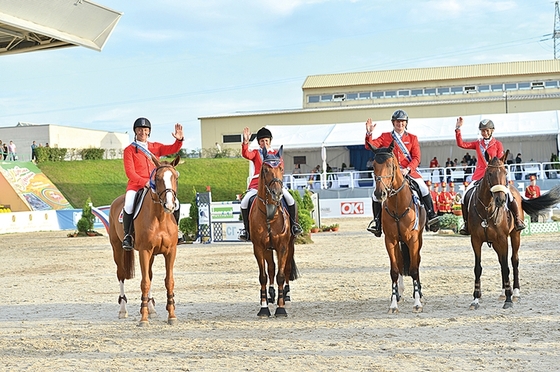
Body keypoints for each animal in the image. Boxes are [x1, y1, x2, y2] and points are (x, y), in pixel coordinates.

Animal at [108, 154, 180, 326]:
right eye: (158, 178)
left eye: (175, 177)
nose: (169, 205)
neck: (160, 217)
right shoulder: (144, 251)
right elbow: (145, 282)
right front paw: (143, 318)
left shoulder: (170, 252)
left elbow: (169, 281)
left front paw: (171, 315)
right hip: (117, 249)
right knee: (121, 274)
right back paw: (123, 310)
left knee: (150, 275)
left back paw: (152, 308)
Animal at [250, 145, 300, 316]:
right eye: (265, 169)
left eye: (281, 168)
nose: (277, 193)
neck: (270, 214)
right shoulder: (259, 247)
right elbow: (264, 276)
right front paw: (264, 307)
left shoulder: (283, 246)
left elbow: (281, 275)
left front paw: (281, 308)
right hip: (268, 249)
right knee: (271, 268)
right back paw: (270, 295)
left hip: (290, 246)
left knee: (286, 269)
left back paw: (286, 295)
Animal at [372, 142, 424, 314]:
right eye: (373, 166)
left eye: (390, 165)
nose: (380, 194)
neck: (397, 204)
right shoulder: (391, 240)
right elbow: (395, 271)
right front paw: (393, 304)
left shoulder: (413, 240)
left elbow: (414, 269)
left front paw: (417, 303)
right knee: (400, 263)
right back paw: (399, 293)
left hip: (418, 240)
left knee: (417, 262)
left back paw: (418, 292)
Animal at [464, 150, 560, 310]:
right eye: (489, 173)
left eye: (505, 173)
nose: (501, 200)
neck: (487, 210)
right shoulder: (475, 240)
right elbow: (478, 268)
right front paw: (475, 299)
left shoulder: (502, 239)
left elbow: (506, 267)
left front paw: (508, 299)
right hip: (496, 243)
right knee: (501, 262)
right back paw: (504, 292)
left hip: (515, 236)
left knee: (513, 261)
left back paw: (514, 293)